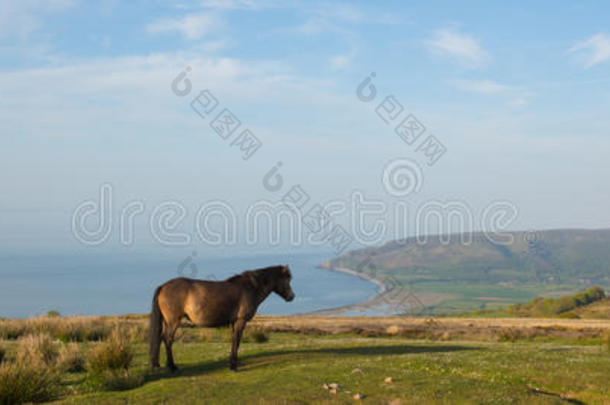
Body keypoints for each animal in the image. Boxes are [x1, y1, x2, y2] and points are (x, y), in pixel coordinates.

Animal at [149, 264, 292, 370]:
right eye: (287, 279)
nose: (292, 296)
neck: (250, 288)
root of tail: (163, 286)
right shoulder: (240, 321)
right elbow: (237, 340)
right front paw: (234, 366)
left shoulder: (235, 322)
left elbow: (234, 340)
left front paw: (232, 363)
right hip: (173, 321)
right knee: (168, 339)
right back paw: (172, 367)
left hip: (168, 322)